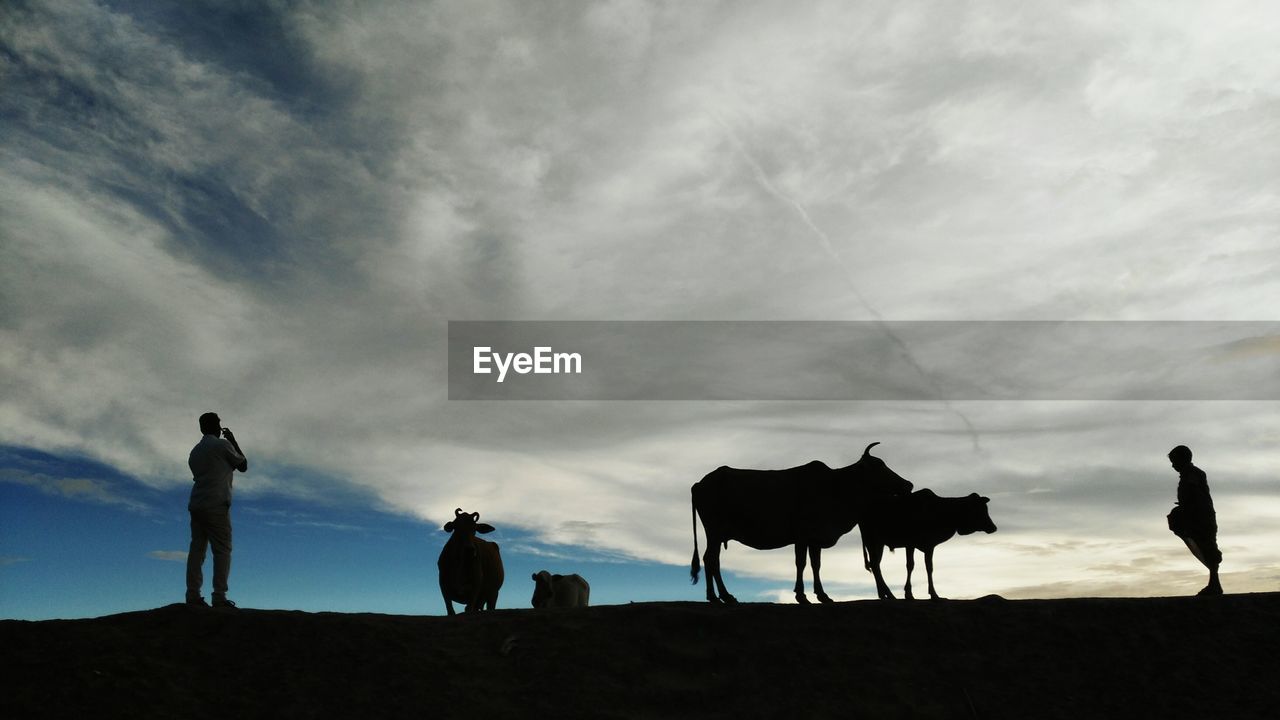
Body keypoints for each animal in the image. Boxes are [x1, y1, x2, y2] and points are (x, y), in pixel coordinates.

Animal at [696, 440, 916, 602]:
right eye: (879, 467)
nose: (908, 484)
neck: (837, 487)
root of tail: (700, 483)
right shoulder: (802, 536)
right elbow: (801, 563)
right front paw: (801, 595)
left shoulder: (814, 538)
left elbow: (815, 564)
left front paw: (822, 595)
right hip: (714, 531)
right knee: (711, 559)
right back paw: (721, 596)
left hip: (716, 534)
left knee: (711, 559)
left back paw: (717, 596)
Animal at [860, 486, 998, 599]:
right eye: (980, 509)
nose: (993, 527)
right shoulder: (910, 543)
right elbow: (910, 565)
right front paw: (909, 594)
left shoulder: (929, 546)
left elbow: (929, 567)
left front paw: (934, 594)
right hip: (872, 541)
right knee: (875, 565)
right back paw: (889, 595)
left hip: (878, 544)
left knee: (875, 565)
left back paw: (883, 595)